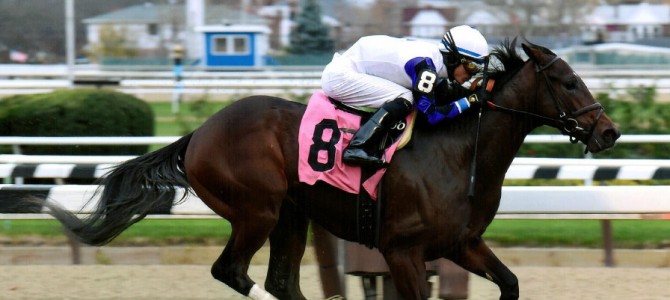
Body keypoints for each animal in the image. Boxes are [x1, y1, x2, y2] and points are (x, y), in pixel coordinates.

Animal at [44, 40, 620, 300]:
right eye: (567, 82)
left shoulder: (461, 243)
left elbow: (511, 283)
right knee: (232, 272)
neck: (460, 154)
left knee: (280, 280)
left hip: (291, 216)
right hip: (256, 211)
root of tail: (199, 133)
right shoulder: (401, 250)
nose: (608, 131)